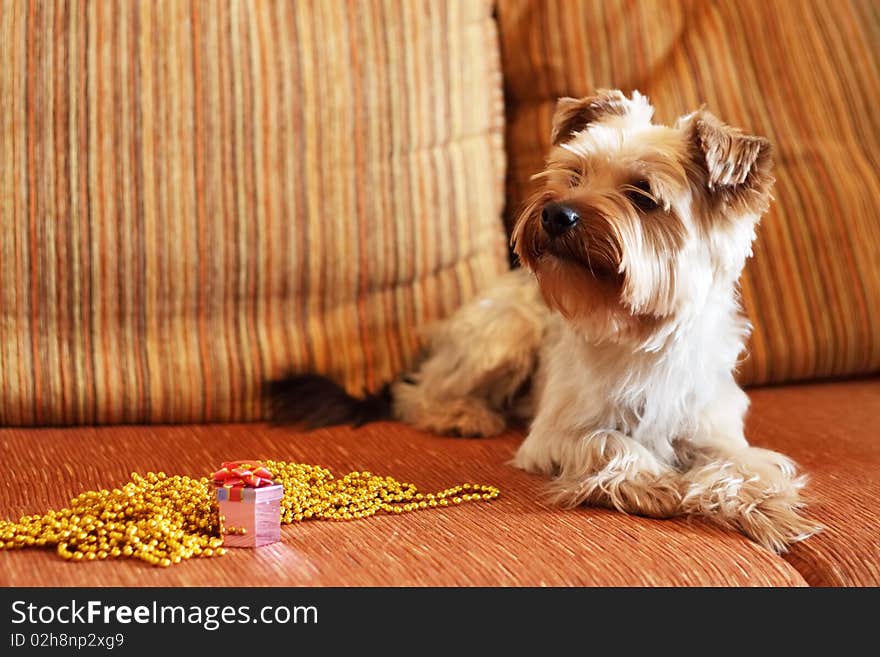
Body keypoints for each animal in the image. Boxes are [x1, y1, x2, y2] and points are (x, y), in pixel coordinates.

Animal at [272, 89, 820, 552]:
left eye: (644, 196)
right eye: (574, 175)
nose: (556, 213)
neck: (640, 334)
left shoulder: (714, 432)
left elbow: (743, 465)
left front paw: (767, 509)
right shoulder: (555, 435)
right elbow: (610, 441)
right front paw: (656, 482)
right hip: (506, 332)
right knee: (419, 393)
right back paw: (464, 415)